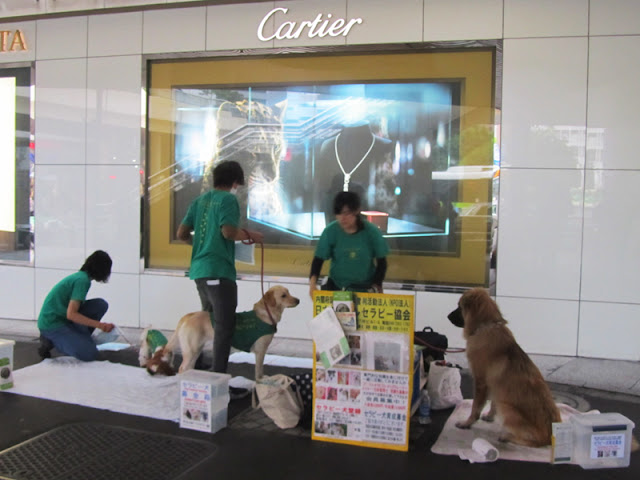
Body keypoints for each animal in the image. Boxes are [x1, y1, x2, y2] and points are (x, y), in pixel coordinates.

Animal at [152, 285, 300, 379]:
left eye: (289, 292)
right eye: (283, 295)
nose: (298, 300)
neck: (266, 314)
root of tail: (188, 315)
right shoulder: (260, 350)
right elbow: (259, 370)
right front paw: (260, 381)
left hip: (196, 349)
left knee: (189, 367)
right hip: (191, 349)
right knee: (182, 368)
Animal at [448, 288, 561, 447]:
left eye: (460, 307)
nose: (447, 316)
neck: (485, 326)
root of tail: (550, 434)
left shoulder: (481, 382)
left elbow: (475, 407)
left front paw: (467, 423)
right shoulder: (495, 384)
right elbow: (493, 401)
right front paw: (490, 416)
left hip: (507, 409)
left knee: (535, 442)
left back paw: (507, 436)